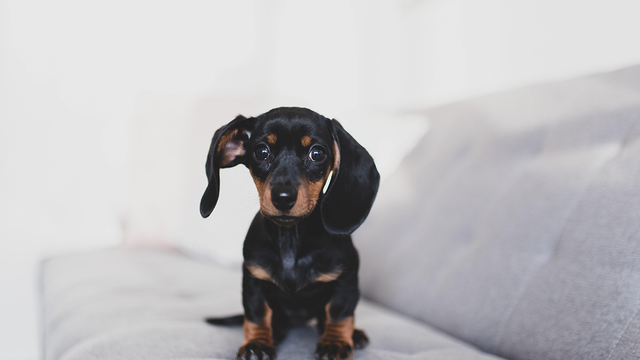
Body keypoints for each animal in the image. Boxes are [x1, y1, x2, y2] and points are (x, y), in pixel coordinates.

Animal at [202, 107, 378, 360]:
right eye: (261, 152)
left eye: (317, 153)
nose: (283, 197)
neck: (290, 239)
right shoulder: (253, 279)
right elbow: (256, 314)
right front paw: (257, 344)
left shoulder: (346, 278)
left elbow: (339, 312)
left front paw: (335, 342)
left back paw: (353, 334)